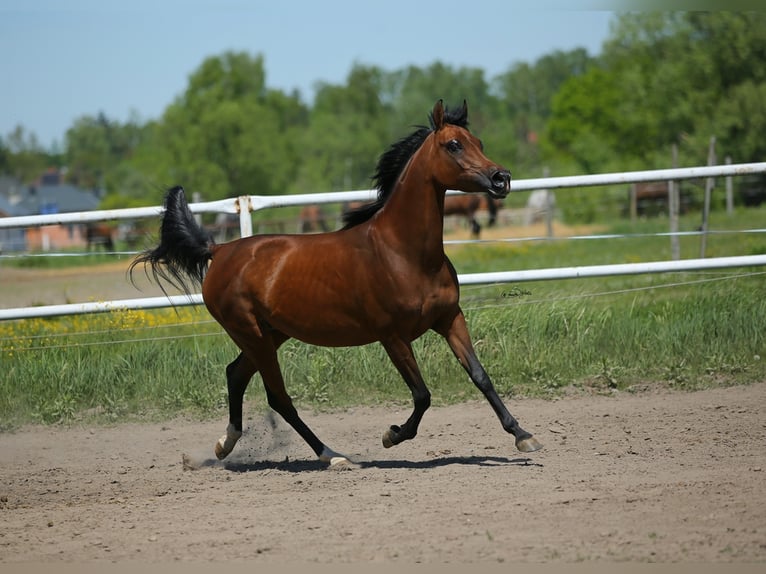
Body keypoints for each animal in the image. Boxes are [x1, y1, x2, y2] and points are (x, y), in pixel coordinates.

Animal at [130, 99, 540, 468]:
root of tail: (221, 250)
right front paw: (391, 435)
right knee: (278, 397)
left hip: (270, 334)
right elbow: (422, 395)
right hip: (252, 334)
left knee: (237, 374)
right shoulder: (393, 336)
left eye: (479, 142)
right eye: (453, 144)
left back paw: (223, 447)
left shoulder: (450, 319)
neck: (403, 253)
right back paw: (333, 456)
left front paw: (523, 436)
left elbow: (481, 376)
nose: (501, 178)